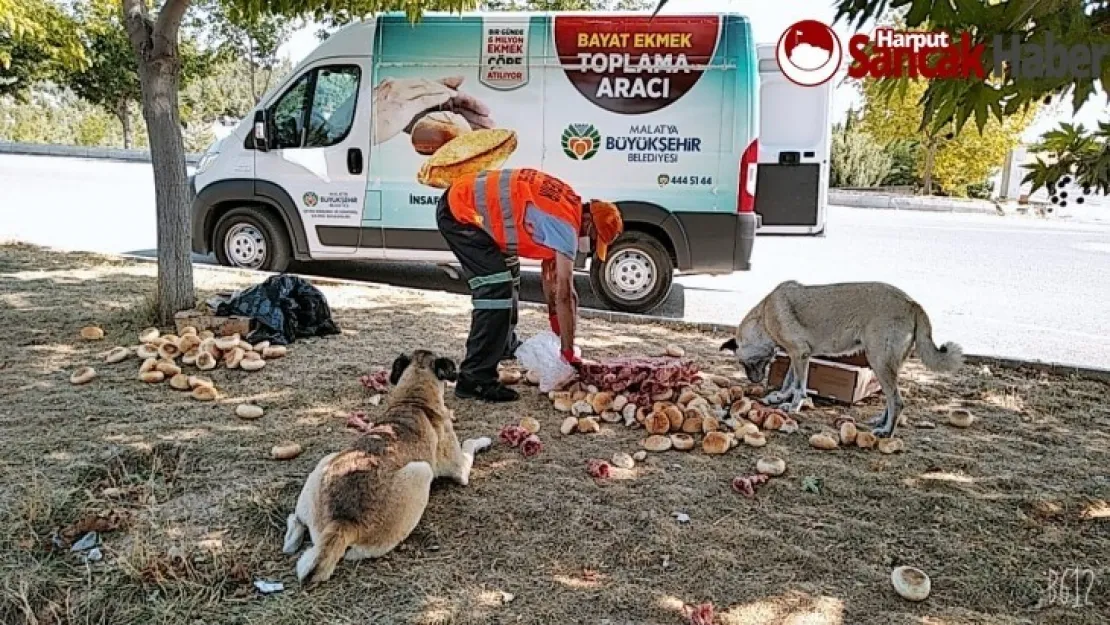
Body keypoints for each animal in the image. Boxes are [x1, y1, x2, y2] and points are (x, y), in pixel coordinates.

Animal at [284, 350, 492, 590]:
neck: (413, 400)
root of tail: (344, 521)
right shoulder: (460, 468)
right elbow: (470, 444)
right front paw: (483, 440)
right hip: (422, 472)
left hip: (325, 463)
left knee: (294, 531)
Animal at [719, 280, 963, 437]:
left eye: (743, 363)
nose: (752, 381)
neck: (764, 316)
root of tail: (912, 303)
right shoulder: (797, 356)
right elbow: (791, 380)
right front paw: (781, 397)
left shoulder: (800, 355)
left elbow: (799, 387)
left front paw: (794, 405)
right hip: (886, 366)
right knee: (892, 399)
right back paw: (881, 422)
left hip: (879, 363)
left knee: (897, 401)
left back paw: (887, 431)